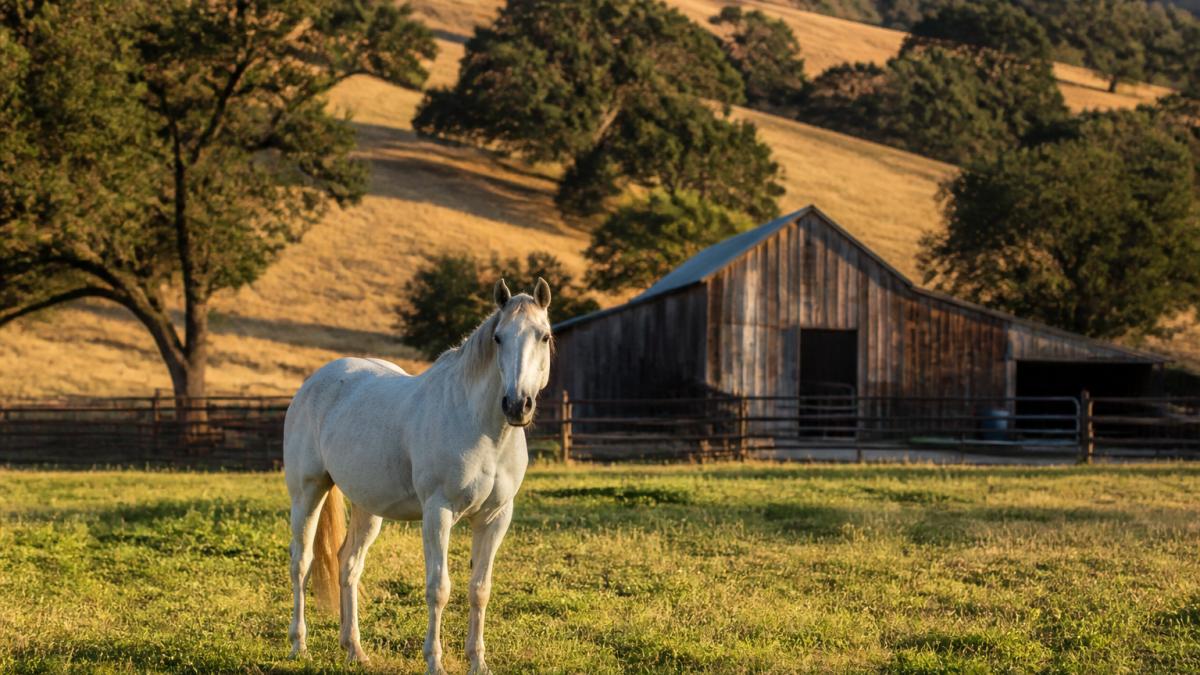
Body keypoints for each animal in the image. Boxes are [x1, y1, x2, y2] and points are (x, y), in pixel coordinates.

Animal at [283, 278, 553, 674]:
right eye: (498, 338)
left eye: (544, 336)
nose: (517, 405)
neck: (482, 428)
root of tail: (314, 382)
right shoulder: (438, 513)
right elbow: (438, 588)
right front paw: (435, 662)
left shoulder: (495, 518)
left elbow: (480, 589)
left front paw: (478, 662)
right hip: (308, 492)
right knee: (301, 563)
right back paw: (299, 646)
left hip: (367, 506)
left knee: (348, 564)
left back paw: (354, 649)